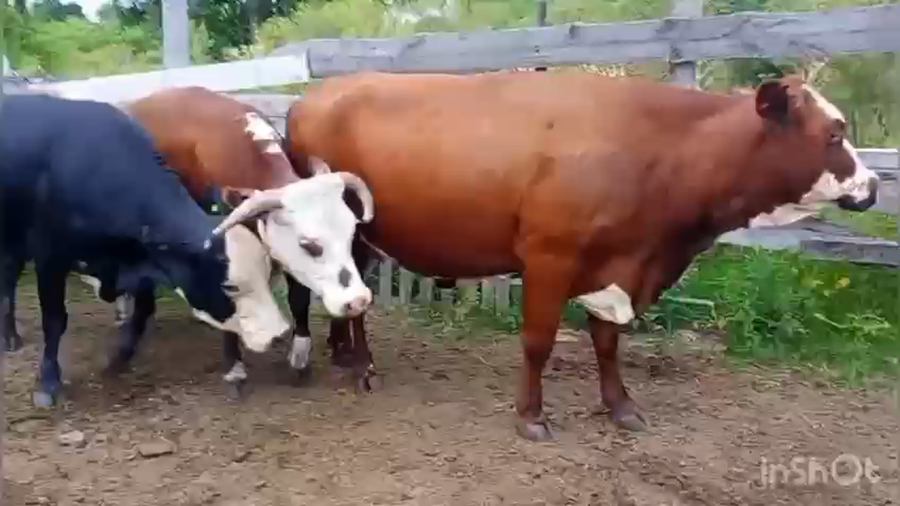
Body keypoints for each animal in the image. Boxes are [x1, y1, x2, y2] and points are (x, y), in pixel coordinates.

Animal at [0, 93, 236, 407]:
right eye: (221, 275)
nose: (232, 313)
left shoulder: (144, 259)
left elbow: (145, 309)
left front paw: (118, 355)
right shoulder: (49, 256)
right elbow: (54, 319)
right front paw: (48, 382)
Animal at [281, 71, 879, 441]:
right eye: (833, 133)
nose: (873, 186)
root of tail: (313, 94)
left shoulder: (617, 266)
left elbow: (608, 342)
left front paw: (621, 407)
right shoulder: (551, 257)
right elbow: (538, 342)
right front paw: (531, 417)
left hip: (363, 238)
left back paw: (344, 353)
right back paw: (360, 366)